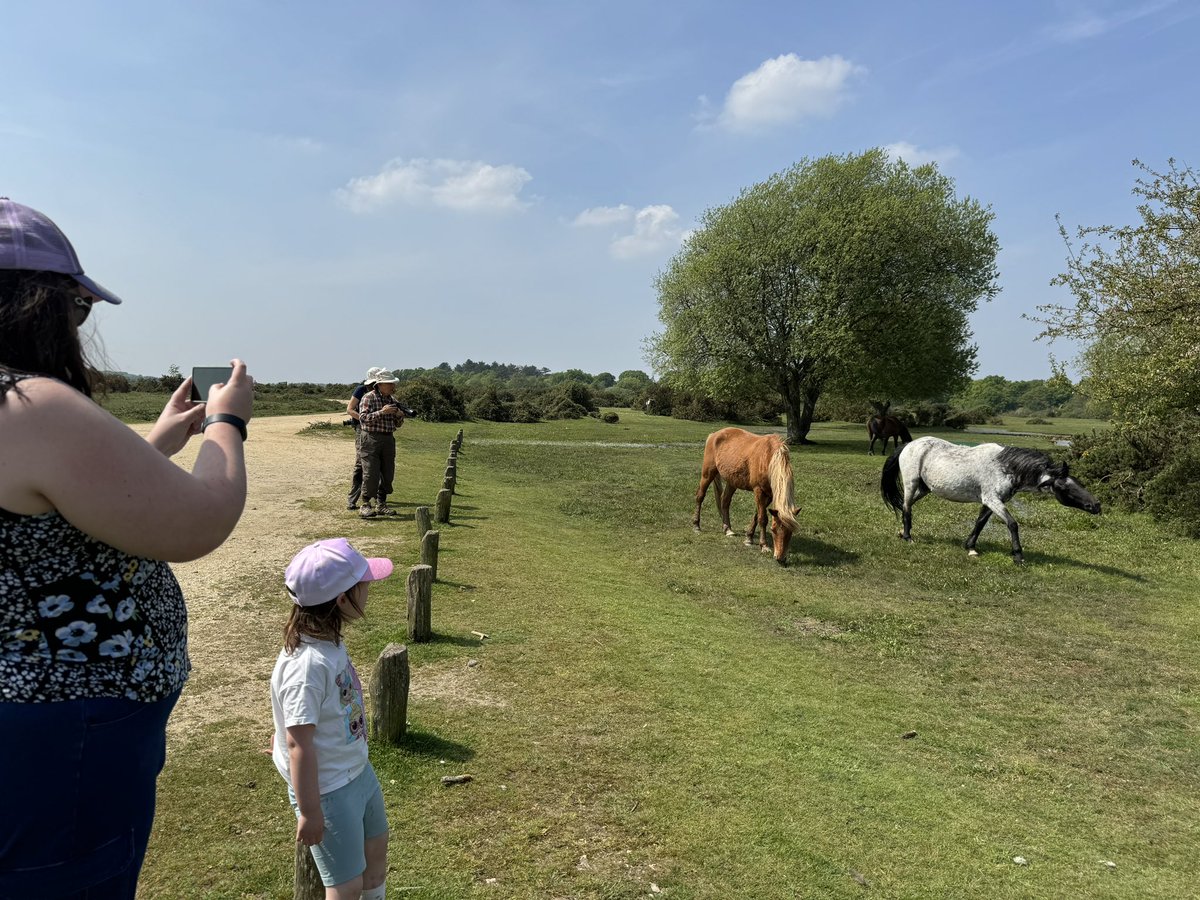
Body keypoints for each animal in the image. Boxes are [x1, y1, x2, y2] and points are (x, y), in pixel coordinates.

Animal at [693, 427, 799, 565]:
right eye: (773, 529)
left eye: (790, 532)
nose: (780, 558)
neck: (769, 458)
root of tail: (714, 435)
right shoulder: (758, 490)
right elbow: (762, 518)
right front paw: (764, 546)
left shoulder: (769, 494)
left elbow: (757, 515)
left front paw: (749, 537)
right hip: (707, 474)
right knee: (700, 496)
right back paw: (696, 525)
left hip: (732, 482)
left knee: (725, 502)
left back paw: (728, 529)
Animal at [880, 436, 1100, 564]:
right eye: (1065, 486)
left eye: (1078, 482)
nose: (1096, 505)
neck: (1005, 467)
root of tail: (909, 444)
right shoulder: (993, 500)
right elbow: (1012, 524)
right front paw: (1018, 556)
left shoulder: (990, 502)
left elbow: (980, 523)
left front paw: (970, 548)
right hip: (911, 483)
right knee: (906, 507)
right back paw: (908, 536)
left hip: (925, 489)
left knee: (906, 506)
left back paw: (902, 532)